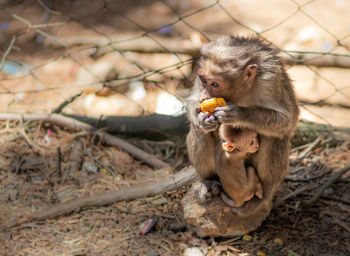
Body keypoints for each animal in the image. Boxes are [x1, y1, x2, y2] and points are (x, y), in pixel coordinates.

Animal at [186, 36, 298, 216]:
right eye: (203, 80)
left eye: (215, 84)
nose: (205, 96)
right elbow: (192, 102)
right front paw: (201, 118)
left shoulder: (271, 80)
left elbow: (288, 120)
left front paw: (236, 114)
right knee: (199, 132)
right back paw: (207, 181)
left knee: (275, 138)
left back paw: (263, 197)